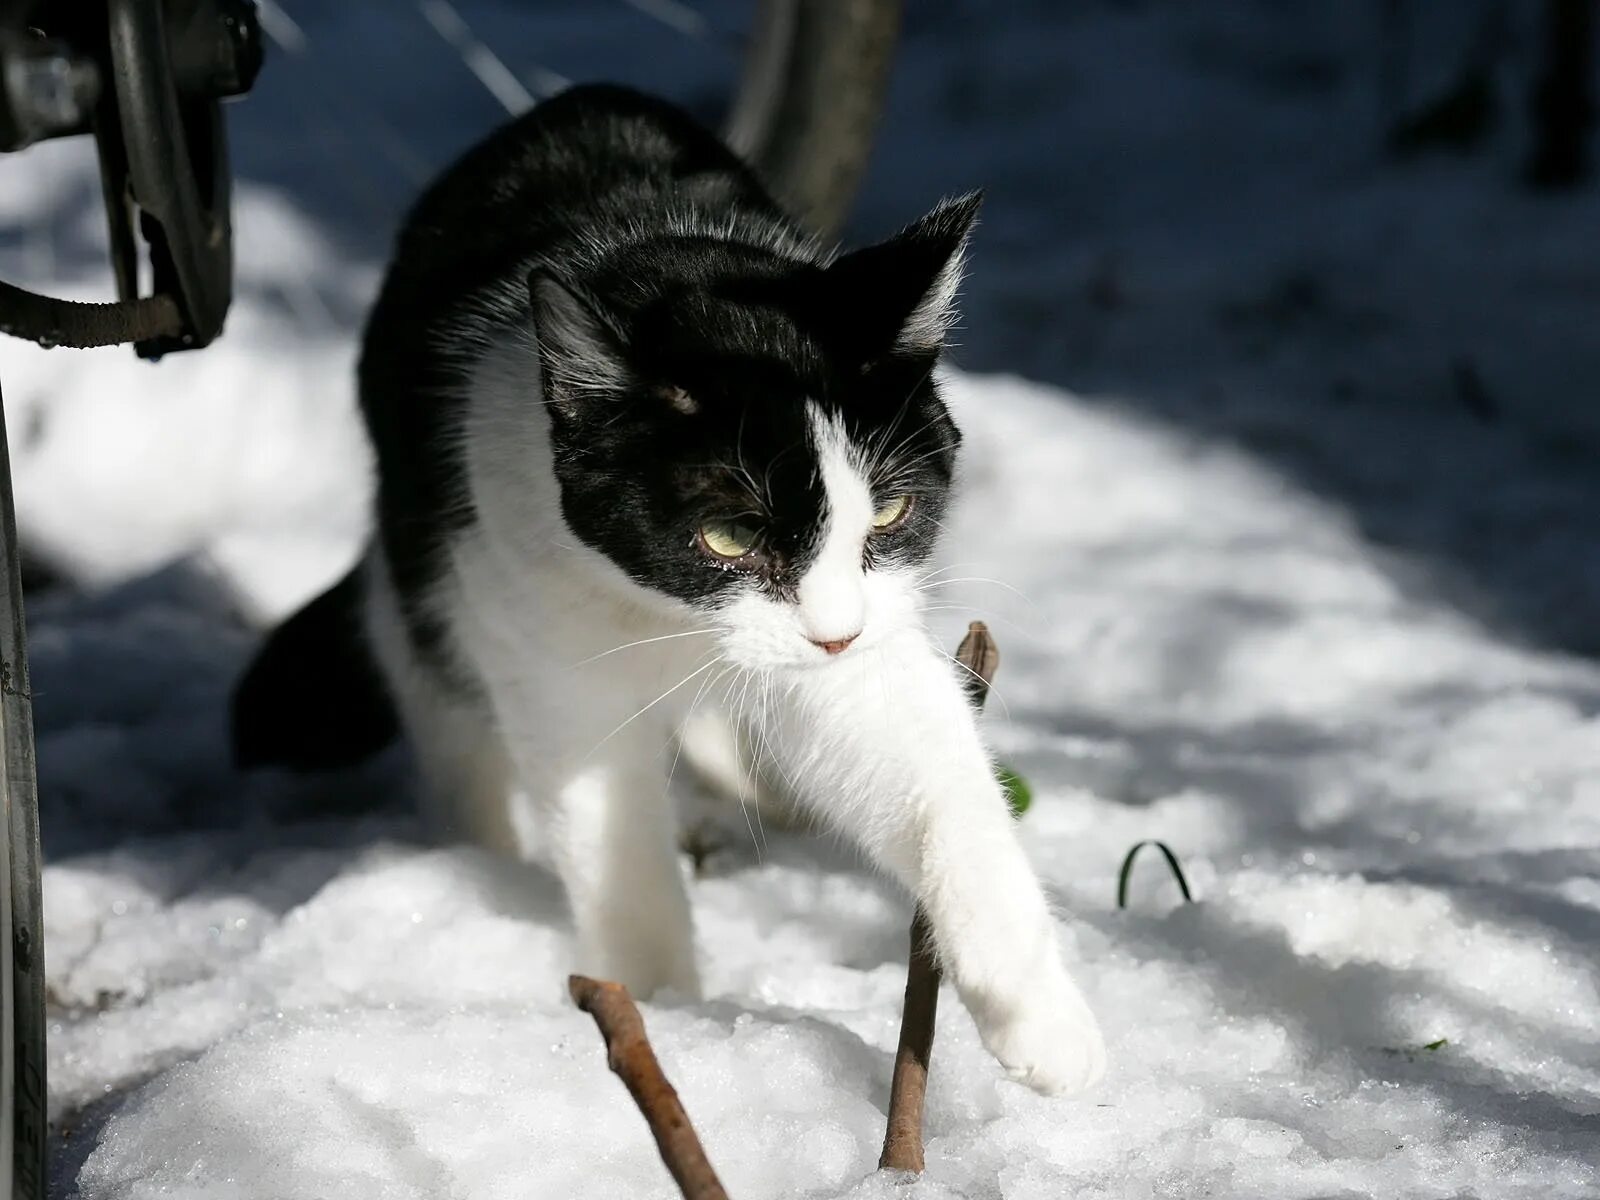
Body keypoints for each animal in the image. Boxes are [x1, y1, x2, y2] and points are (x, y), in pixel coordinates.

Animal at [233, 82, 1100, 1100]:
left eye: (889, 511)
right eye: (727, 537)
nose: (832, 635)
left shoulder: (867, 633)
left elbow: (931, 773)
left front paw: (1043, 1018)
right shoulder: (536, 633)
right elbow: (615, 847)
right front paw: (664, 1015)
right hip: (423, 552)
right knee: (441, 697)